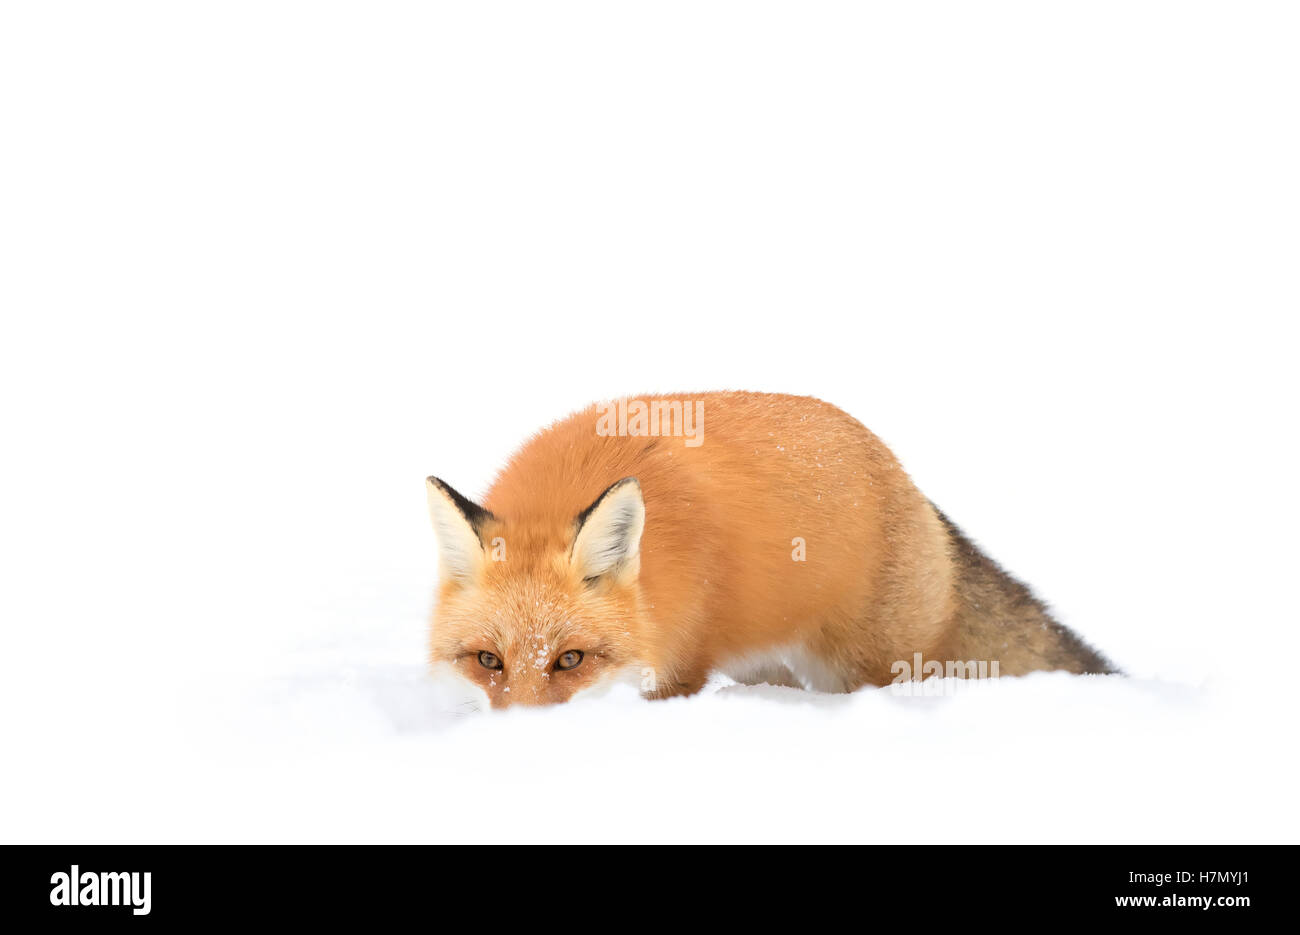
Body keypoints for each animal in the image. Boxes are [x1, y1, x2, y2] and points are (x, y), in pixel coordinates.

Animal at [426, 392, 1115, 708]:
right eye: (488, 660)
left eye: (570, 659)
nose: (525, 736)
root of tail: (903, 476)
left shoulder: (680, 666)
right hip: (765, 662)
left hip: (873, 665)